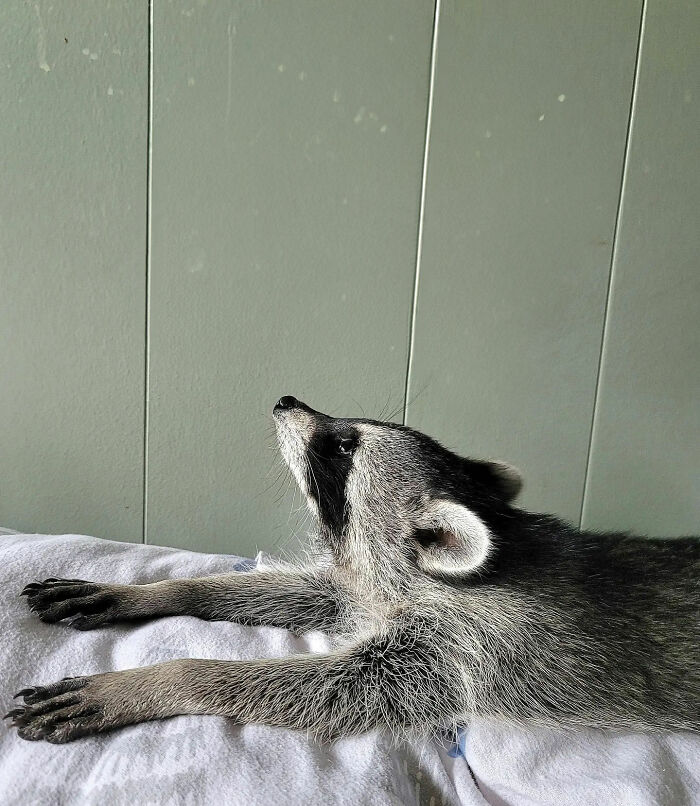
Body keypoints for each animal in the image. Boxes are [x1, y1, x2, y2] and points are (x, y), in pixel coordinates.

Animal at [7, 396, 699, 744]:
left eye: (343, 447)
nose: (287, 399)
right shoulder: (371, 588)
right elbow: (317, 591)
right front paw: (154, 590)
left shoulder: (463, 652)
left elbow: (334, 692)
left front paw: (158, 681)